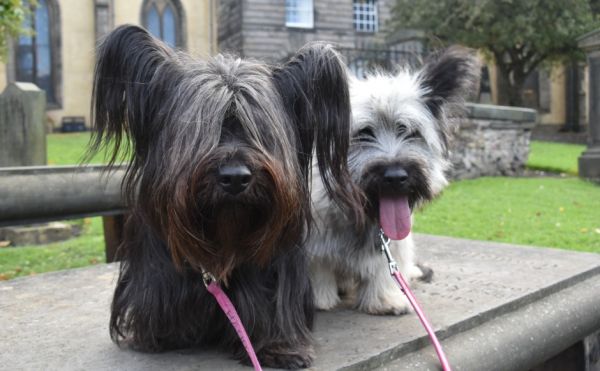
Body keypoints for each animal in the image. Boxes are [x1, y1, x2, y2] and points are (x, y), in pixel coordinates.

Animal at [88, 25, 360, 370]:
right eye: (199, 128)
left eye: (261, 131)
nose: (235, 177)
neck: (224, 236)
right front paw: (159, 335)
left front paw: (279, 346)